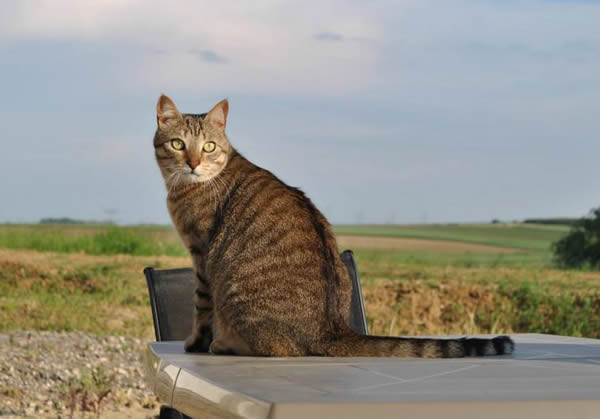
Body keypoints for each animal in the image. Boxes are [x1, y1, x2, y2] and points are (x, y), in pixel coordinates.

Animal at [152, 95, 512, 358]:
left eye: (208, 146)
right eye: (178, 144)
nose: (193, 163)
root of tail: (331, 329)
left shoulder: (201, 254)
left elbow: (201, 309)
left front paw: (196, 343)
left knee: (278, 349)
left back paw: (224, 345)